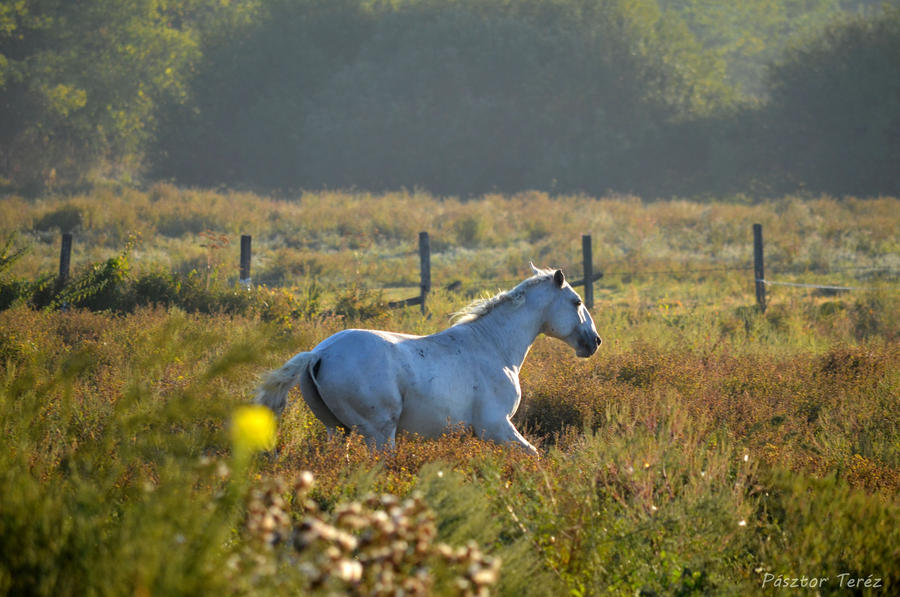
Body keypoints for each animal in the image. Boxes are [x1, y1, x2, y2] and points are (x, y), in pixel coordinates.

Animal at [253, 264, 600, 454]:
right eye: (576, 301)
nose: (594, 342)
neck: (494, 347)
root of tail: (318, 354)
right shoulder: (496, 427)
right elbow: (534, 456)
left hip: (338, 431)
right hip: (379, 433)